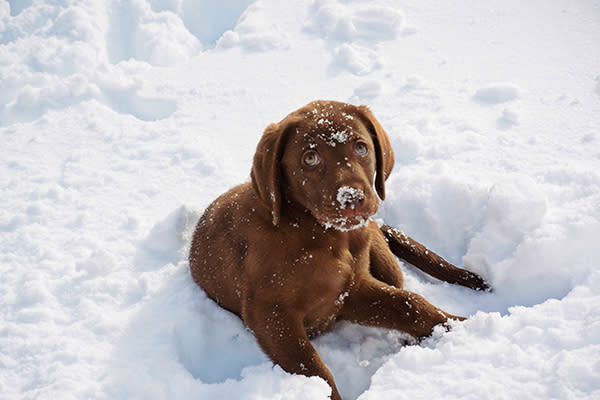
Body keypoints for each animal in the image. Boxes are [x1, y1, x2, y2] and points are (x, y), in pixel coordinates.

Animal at [190, 101, 490, 400]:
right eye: (310, 158)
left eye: (361, 147)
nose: (352, 199)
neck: (321, 234)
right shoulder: (271, 314)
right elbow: (313, 368)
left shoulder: (351, 289)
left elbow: (412, 305)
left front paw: (462, 329)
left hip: (384, 260)